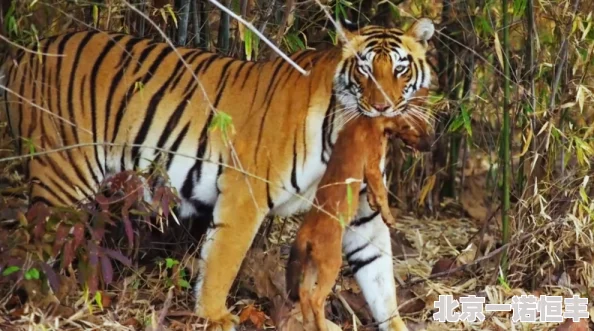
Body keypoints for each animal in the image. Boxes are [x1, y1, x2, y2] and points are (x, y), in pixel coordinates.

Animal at [0, 17, 434, 331]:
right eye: (364, 70)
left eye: (399, 69)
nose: (382, 107)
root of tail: (27, 52)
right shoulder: (246, 193)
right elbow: (222, 260)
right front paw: (213, 316)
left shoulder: (362, 213)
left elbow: (380, 279)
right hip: (62, 176)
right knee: (34, 248)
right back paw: (46, 305)